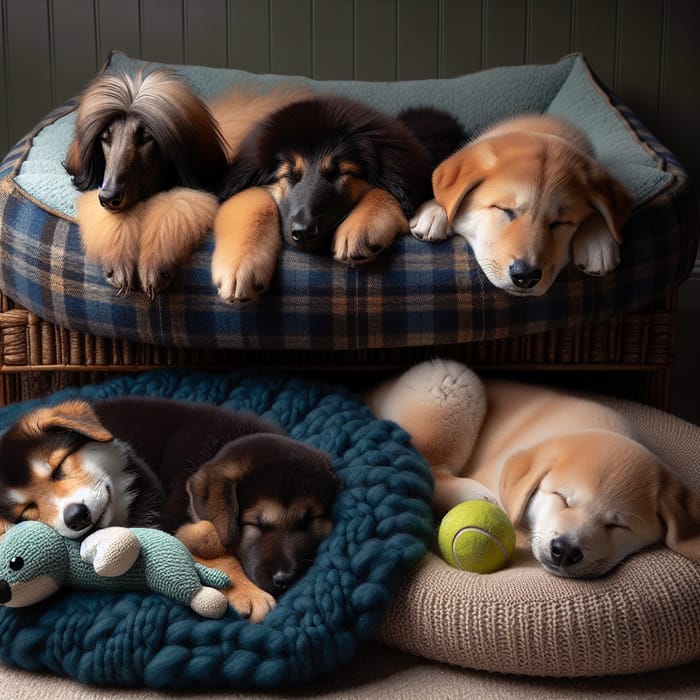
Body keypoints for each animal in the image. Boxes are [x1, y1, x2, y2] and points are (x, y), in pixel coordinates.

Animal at [0, 396, 340, 620]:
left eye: (310, 521)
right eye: (255, 525)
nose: (285, 579)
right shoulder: (175, 521)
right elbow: (212, 546)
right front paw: (249, 593)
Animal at [67, 70, 308, 298]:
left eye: (146, 138)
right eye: (105, 138)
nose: (109, 198)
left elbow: (178, 204)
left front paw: (155, 262)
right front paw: (117, 260)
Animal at [212, 99, 464, 304]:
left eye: (341, 174)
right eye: (288, 175)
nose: (303, 232)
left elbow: (383, 191)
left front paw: (360, 226)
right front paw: (240, 263)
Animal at [366, 358, 700, 576]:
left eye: (619, 526)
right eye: (562, 498)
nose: (565, 550)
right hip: (450, 380)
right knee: (424, 467)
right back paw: (472, 493)